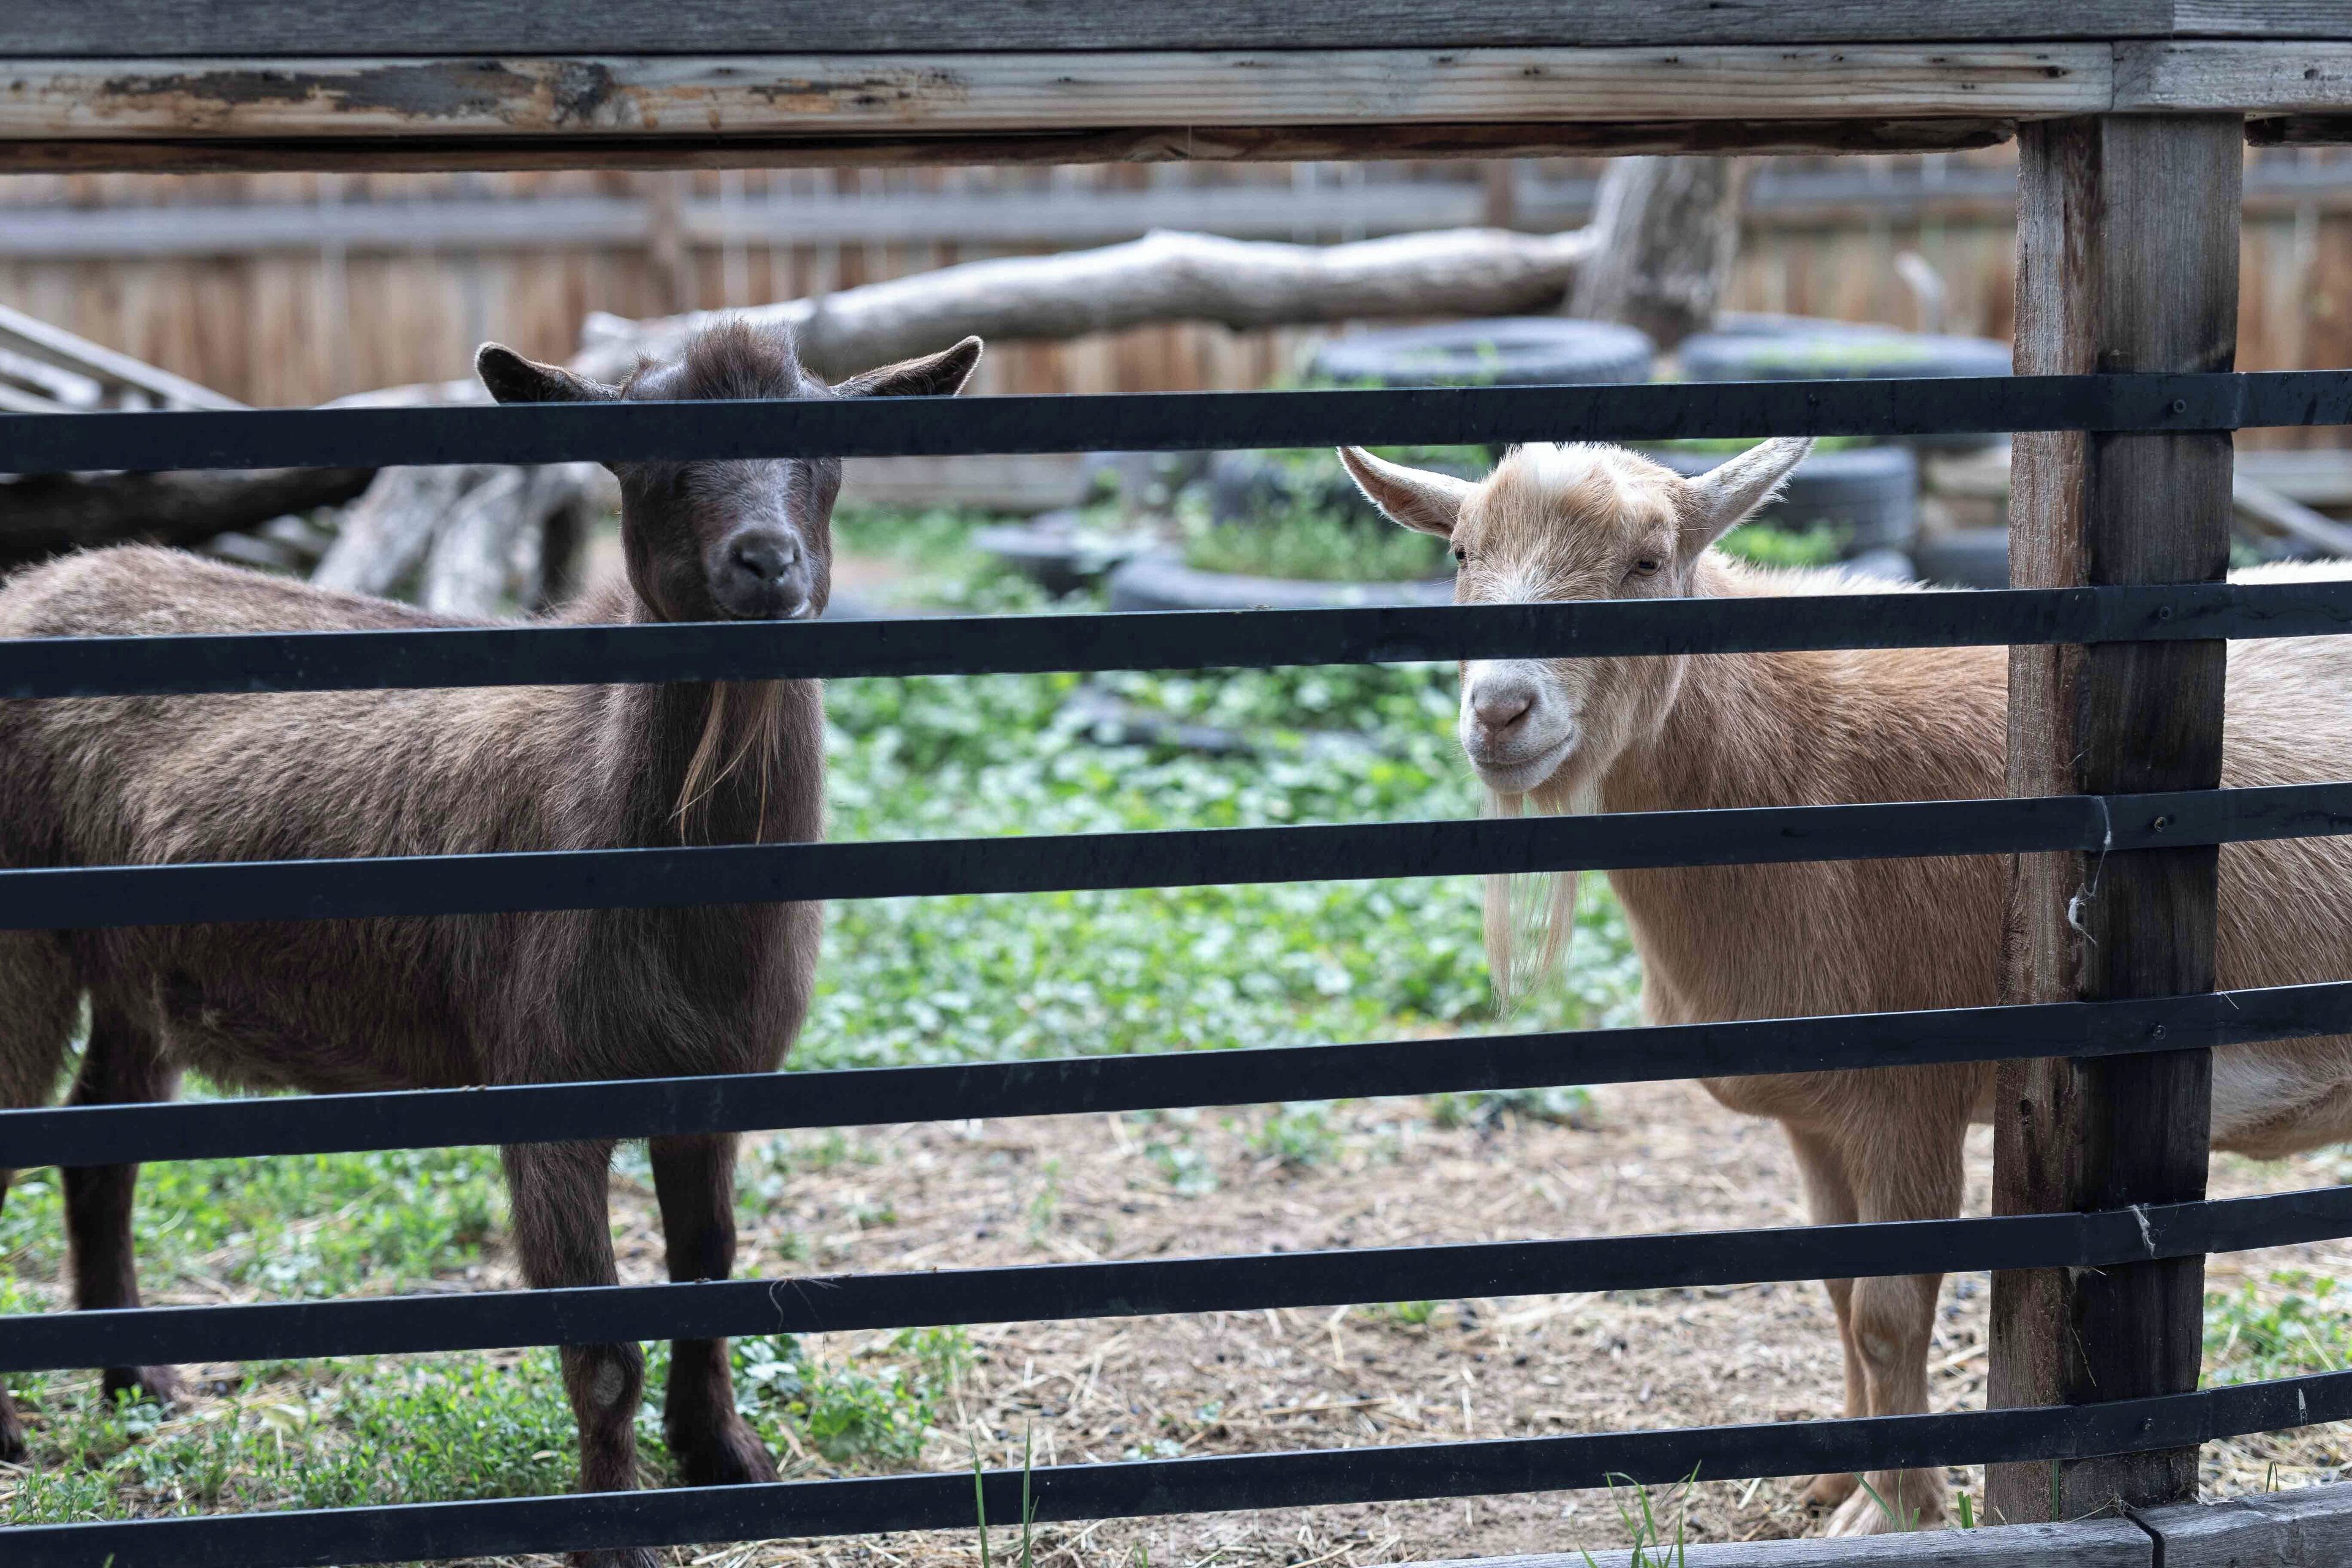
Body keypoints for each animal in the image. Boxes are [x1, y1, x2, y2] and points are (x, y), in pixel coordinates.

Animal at [0, 320, 982, 1567]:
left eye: (829, 451)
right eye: (653, 460)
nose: (766, 562)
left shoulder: (715, 1085)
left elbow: (709, 1272)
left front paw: (725, 1460)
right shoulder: (546, 1082)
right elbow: (601, 1352)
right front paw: (614, 1538)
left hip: (136, 976)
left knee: (100, 1149)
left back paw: (141, 1385)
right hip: (24, 954)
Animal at [1340, 437, 2352, 1535]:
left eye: (1647, 563)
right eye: (1461, 552)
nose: (1500, 711)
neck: (1783, 765)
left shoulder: (1908, 1100)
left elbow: (1888, 1310)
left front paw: (1894, 1511)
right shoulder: (1815, 1113)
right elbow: (1831, 1281)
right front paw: (1836, 1479)